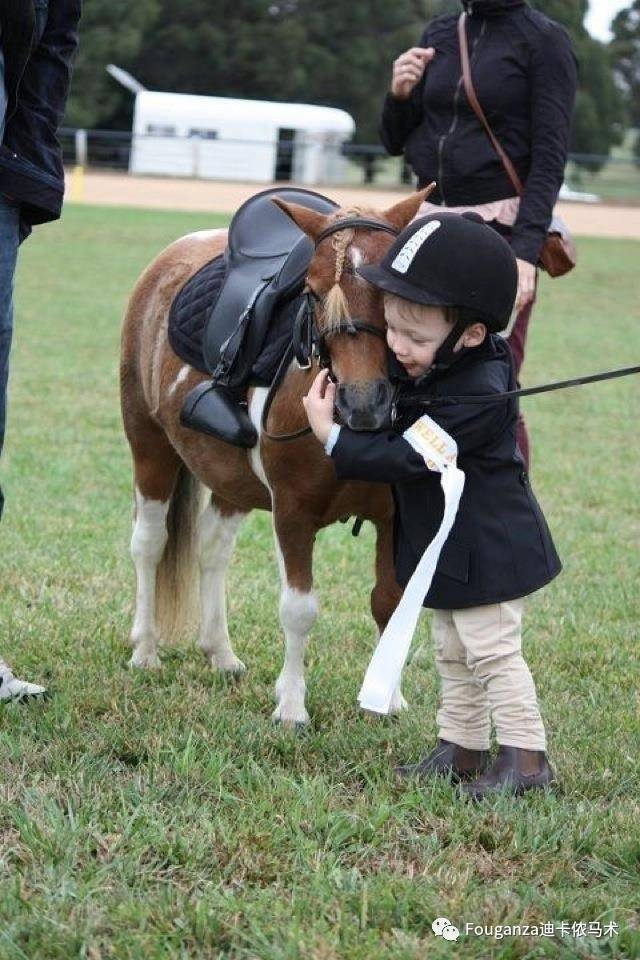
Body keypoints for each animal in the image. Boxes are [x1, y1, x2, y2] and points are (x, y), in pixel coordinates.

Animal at [120, 186, 430, 720]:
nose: (362, 401)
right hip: (150, 446)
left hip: (230, 479)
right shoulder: (293, 512)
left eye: (392, 291)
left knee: (212, 549)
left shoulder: (394, 519)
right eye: (312, 290)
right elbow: (299, 610)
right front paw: (291, 706)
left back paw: (220, 653)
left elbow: (390, 602)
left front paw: (387, 699)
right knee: (149, 543)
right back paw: (146, 649)